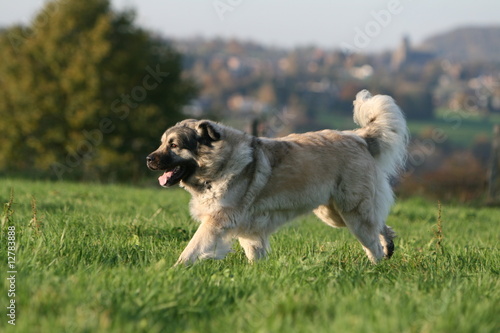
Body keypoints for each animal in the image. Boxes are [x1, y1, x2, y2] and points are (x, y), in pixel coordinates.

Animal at [146, 89, 408, 264]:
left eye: (174, 145)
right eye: (162, 143)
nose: (148, 159)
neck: (219, 163)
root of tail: (358, 137)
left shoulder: (217, 221)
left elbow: (192, 248)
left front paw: (176, 270)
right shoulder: (248, 228)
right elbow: (254, 252)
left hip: (350, 212)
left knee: (371, 242)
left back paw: (375, 267)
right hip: (333, 213)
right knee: (379, 224)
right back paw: (388, 245)